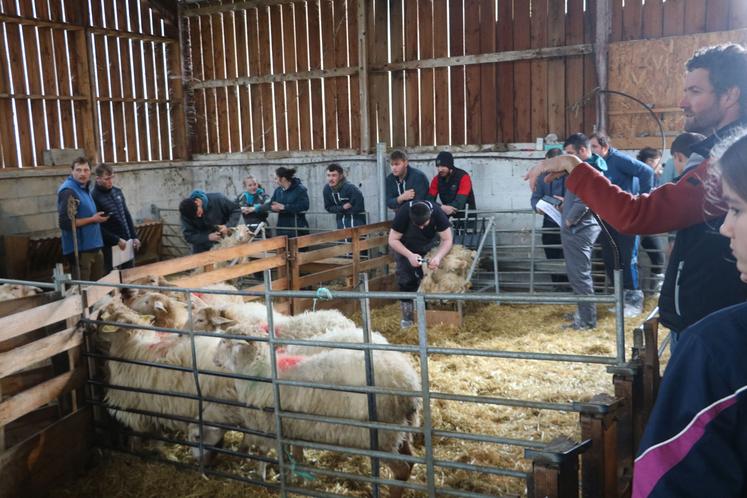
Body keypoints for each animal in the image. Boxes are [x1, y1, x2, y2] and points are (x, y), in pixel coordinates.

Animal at [213, 331, 421, 498]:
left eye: (224, 341)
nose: (214, 360)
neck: (257, 370)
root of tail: (407, 381)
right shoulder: (293, 427)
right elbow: (294, 455)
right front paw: (295, 477)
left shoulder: (270, 425)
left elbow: (264, 452)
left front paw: (262, 477)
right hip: (399, 429)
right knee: (409, 461)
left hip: (380, 436)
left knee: (402, 469)